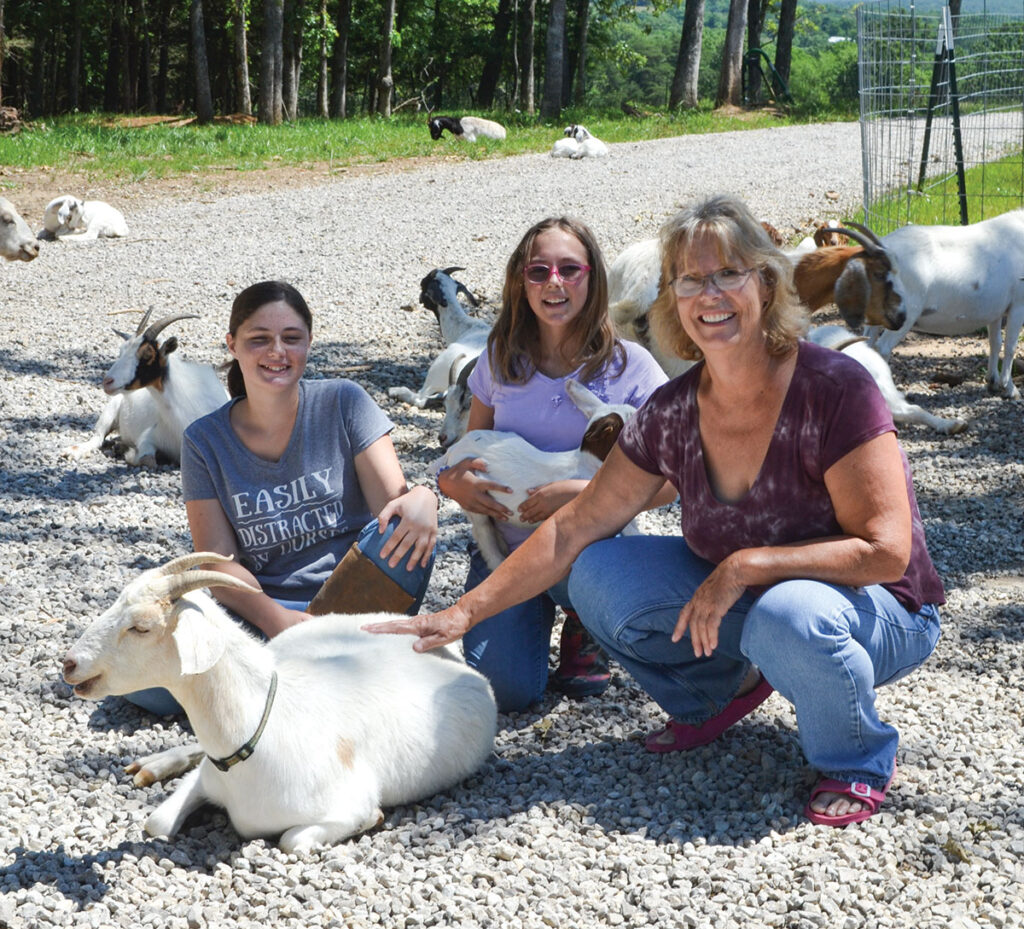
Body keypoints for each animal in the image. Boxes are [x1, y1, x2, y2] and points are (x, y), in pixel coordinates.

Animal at [61, 557, 497, 852]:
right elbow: (157, 820)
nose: (69, 664)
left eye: (141, 627)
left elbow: (294, 840)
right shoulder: (207, 777)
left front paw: (372, 820)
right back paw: (153, 764)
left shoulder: (347, 804)